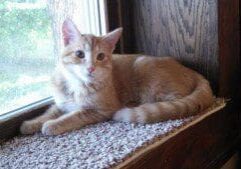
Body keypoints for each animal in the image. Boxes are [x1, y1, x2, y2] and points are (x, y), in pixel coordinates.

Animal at [20, 18, 213, 135]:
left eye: (100, 56)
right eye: (79, 54)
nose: (91, 68)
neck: (76, 85)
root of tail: (191, 71)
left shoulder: (100, 110)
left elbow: (74, 116)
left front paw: (53, 125)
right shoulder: (61, 103)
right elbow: (50, 111)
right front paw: (31, 123)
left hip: (147, 70)